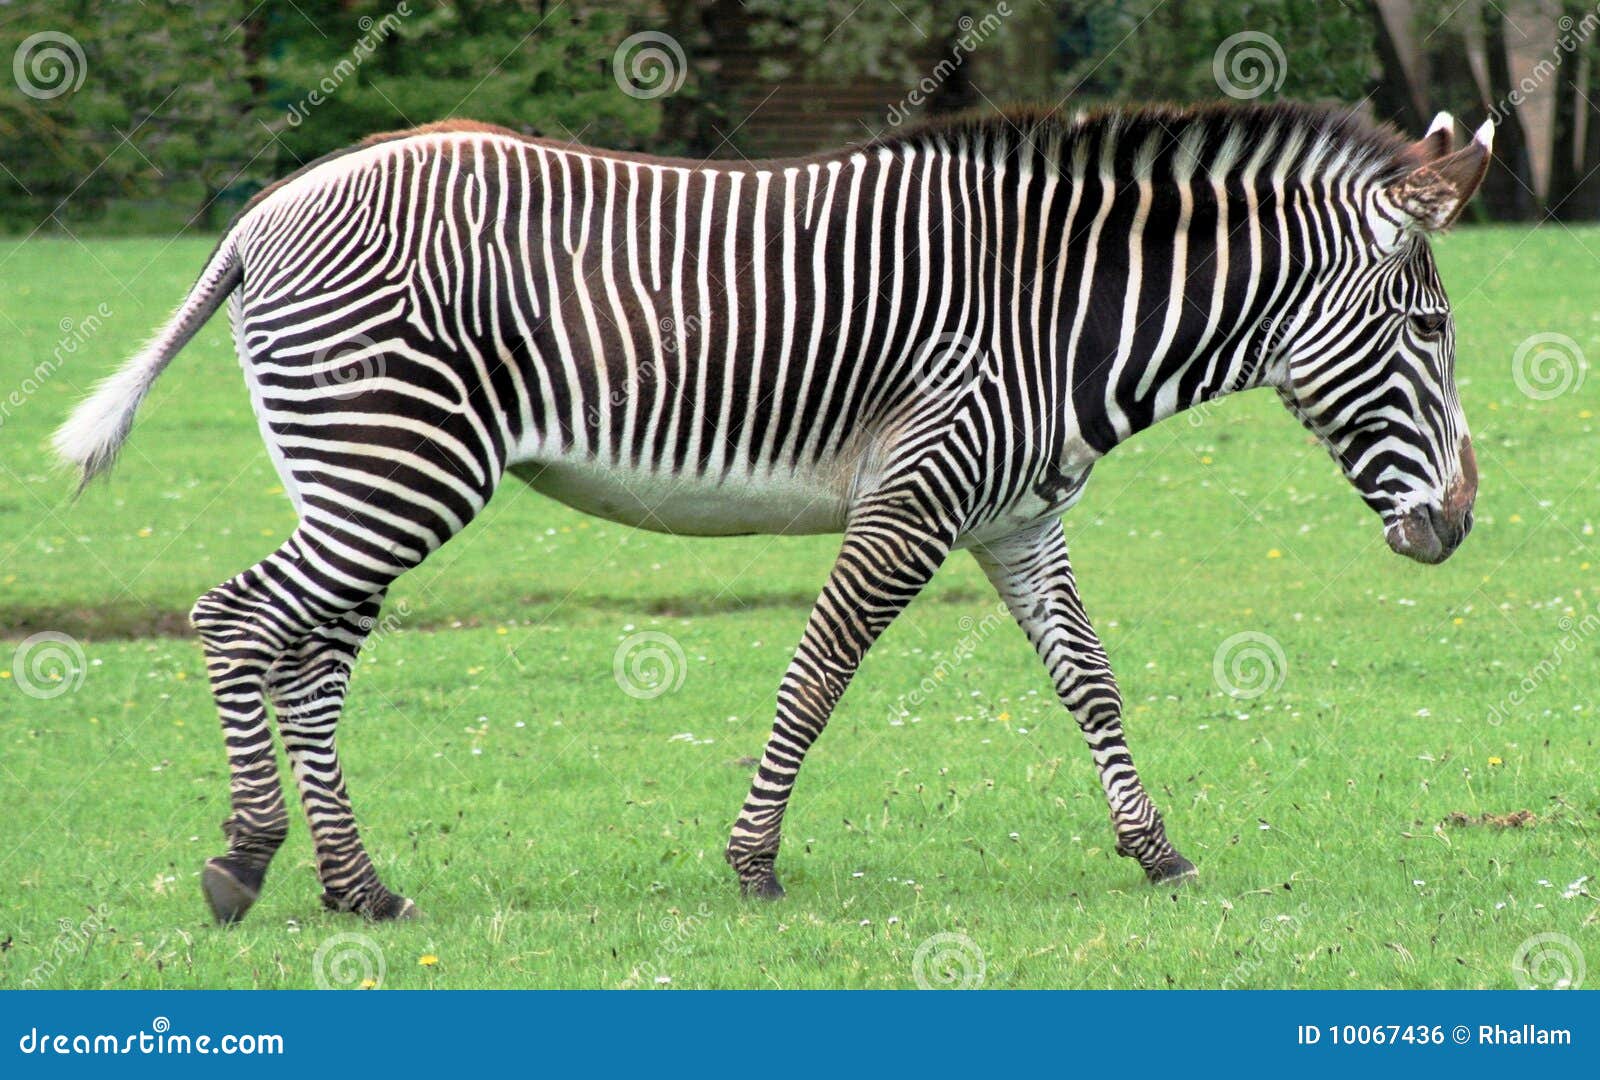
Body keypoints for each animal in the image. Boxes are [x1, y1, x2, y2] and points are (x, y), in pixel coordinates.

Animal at [54, 102, 1488, 922]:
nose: (1463, 529)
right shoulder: (914, 499)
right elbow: (819, 673)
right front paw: (752, 865)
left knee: (310, 655)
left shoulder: (1015, 516)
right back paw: (247, 859)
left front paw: (1157, 852)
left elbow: (1089, 679)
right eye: (1429, 328)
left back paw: (359, 890)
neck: (1062, 319)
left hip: (366, 472)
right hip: (398, 464)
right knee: (239, 619)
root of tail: (264, 212)